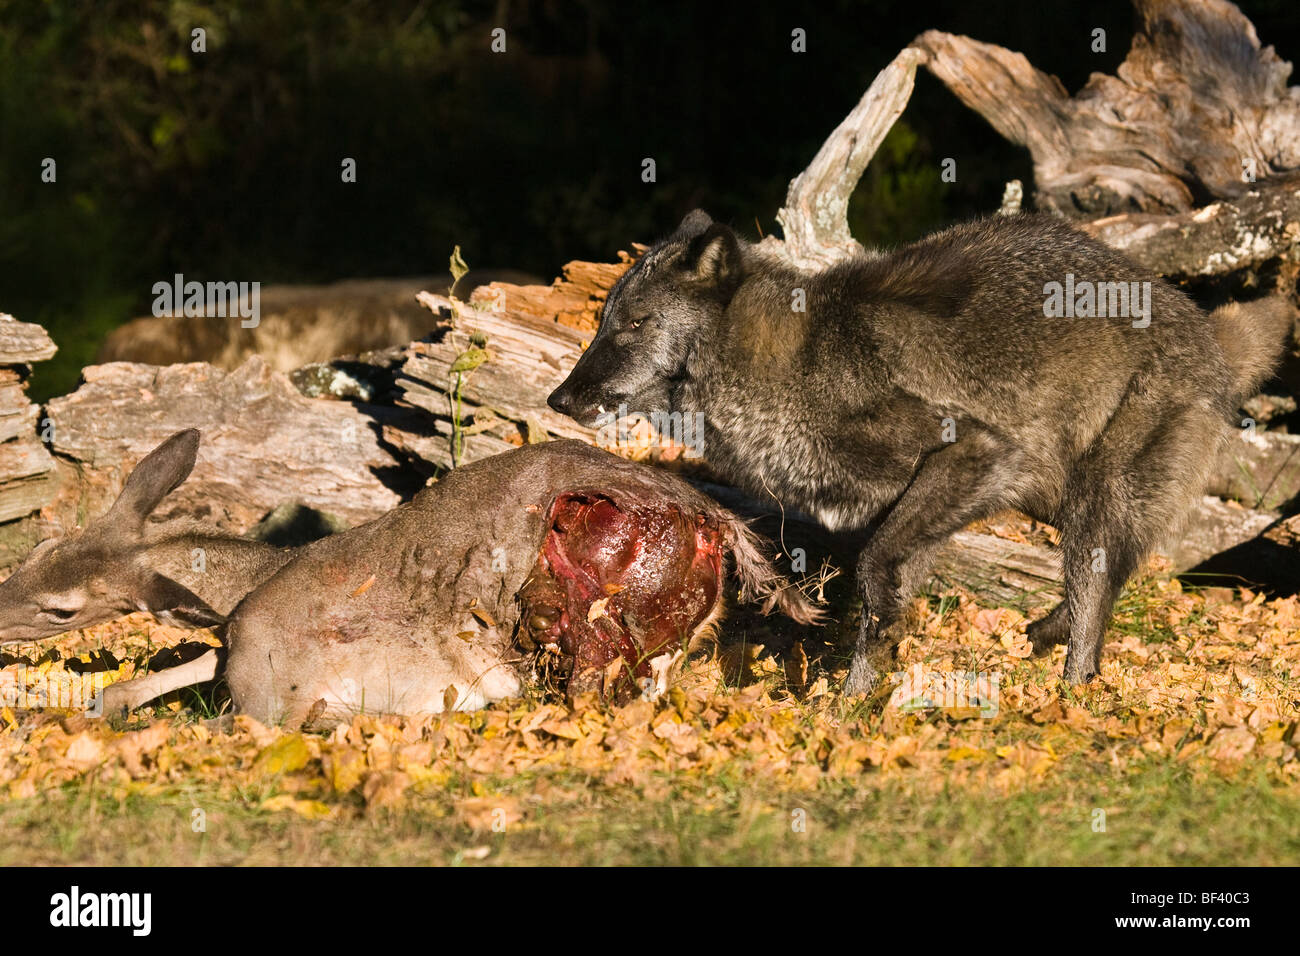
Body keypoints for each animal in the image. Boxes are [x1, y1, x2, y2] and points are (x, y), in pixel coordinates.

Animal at [546, 209, 1289, 691]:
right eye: (604, 321)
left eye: (634, 324)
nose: (558, 399)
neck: (783, 366)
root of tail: (1208, 332)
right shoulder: (912, 513)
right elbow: (878, 608)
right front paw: (854, 706)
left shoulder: (978, 452)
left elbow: (873, 580)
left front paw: (845, 713)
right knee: (1111, 585)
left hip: (1090, 509)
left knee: (1095, 607)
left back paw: (1070, 700)